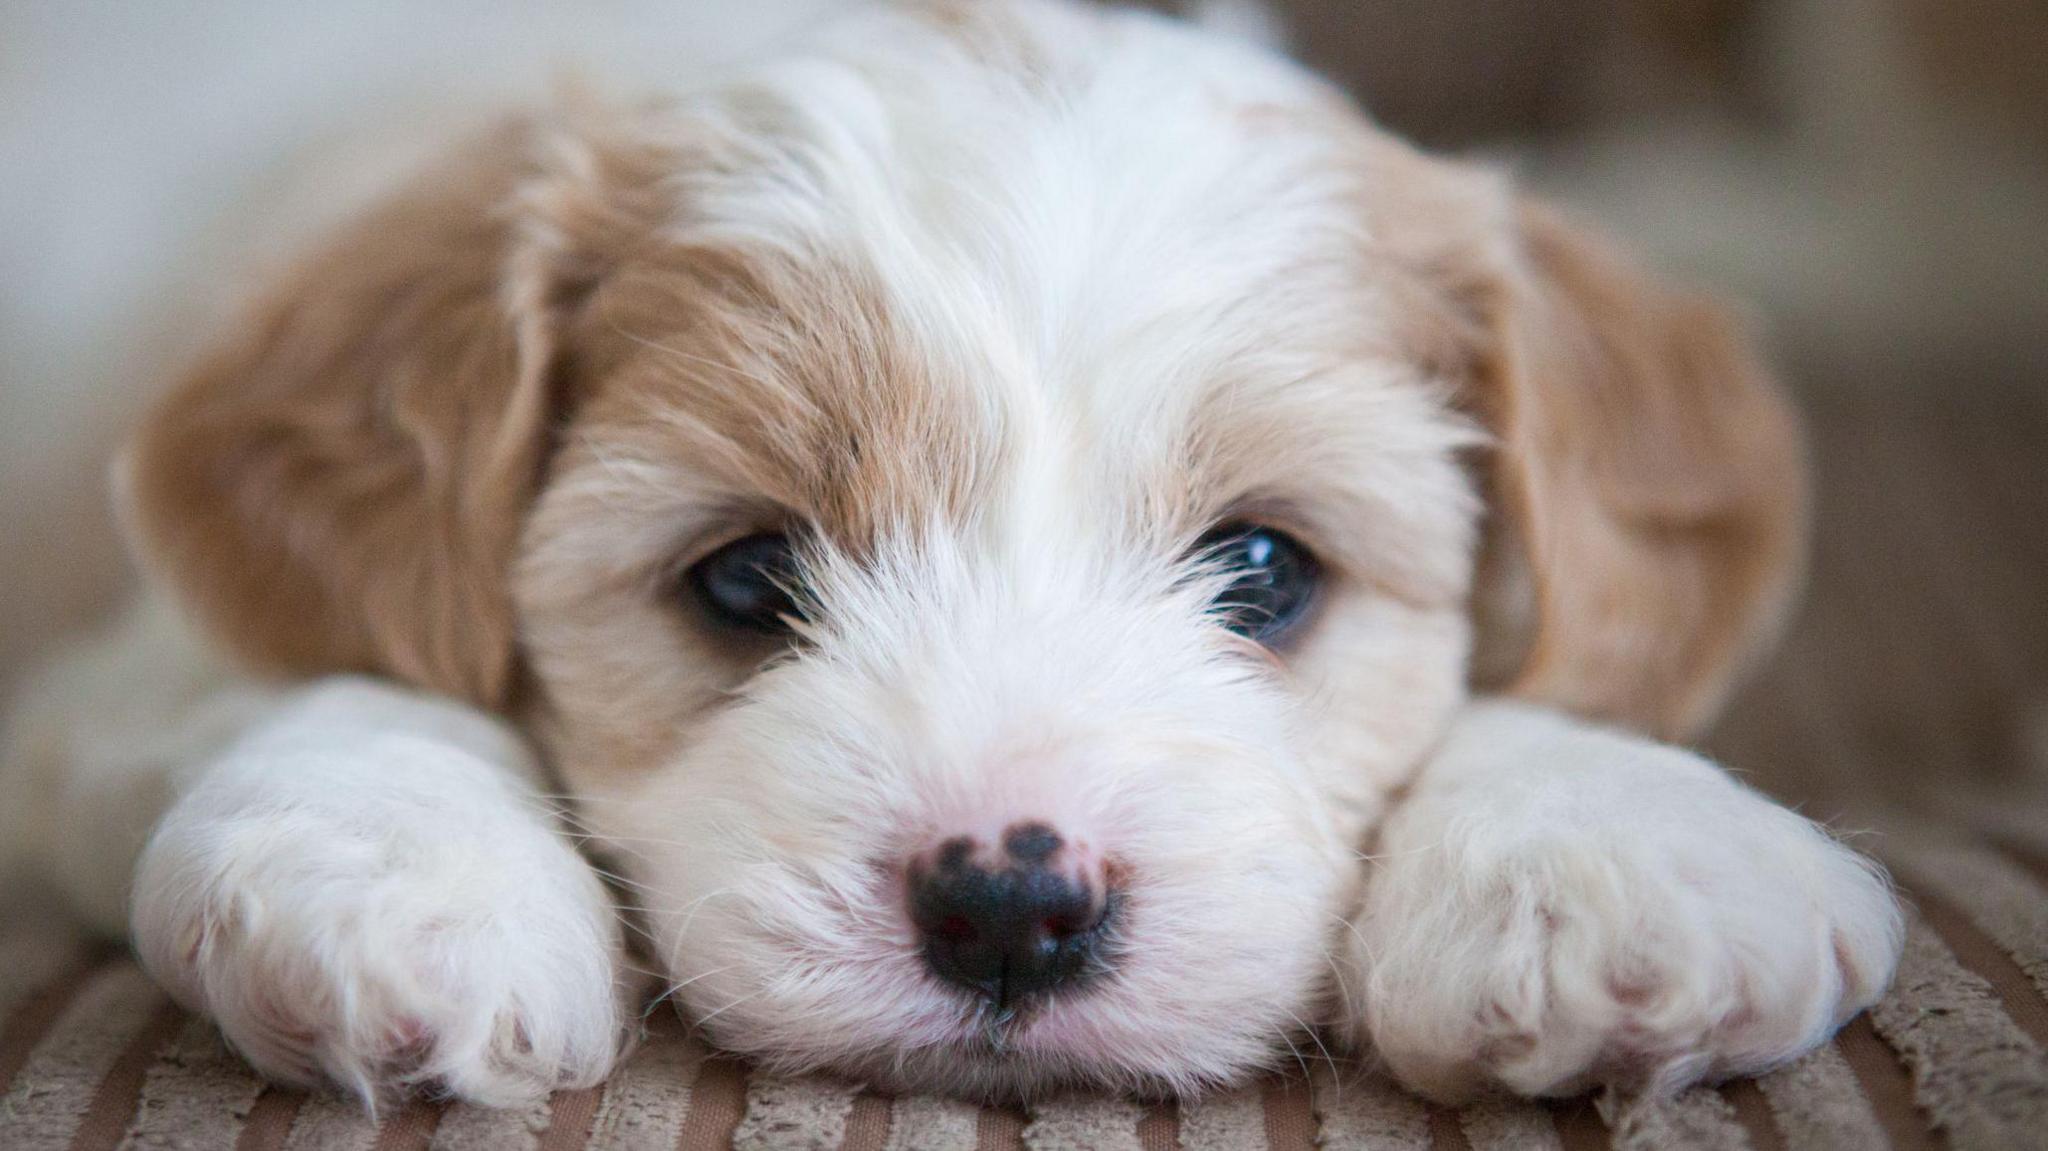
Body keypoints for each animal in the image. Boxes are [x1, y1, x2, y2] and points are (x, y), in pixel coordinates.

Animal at [4, 0, 1900, 1114]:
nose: (1010, 903)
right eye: (746, 578)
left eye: (1265, 570)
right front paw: (402, 867)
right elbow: (321, 669)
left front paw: (1606, 845)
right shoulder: (98, 673)